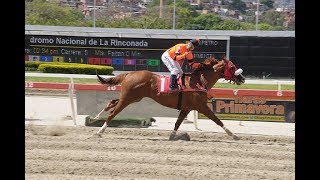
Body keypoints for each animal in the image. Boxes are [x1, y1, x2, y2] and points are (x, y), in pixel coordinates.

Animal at [93, 57, 245, 140]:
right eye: (232, 67)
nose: (242, 78)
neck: (199, 81)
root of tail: (129, 73)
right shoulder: (201, 106)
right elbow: (217, 120)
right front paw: (233, 135)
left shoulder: (186, 108)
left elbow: (178, 123)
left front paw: (173, 136)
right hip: (129, 98)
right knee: (113, 113)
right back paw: (99, 131)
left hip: (133, 97)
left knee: (112, 103)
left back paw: (96, 117)